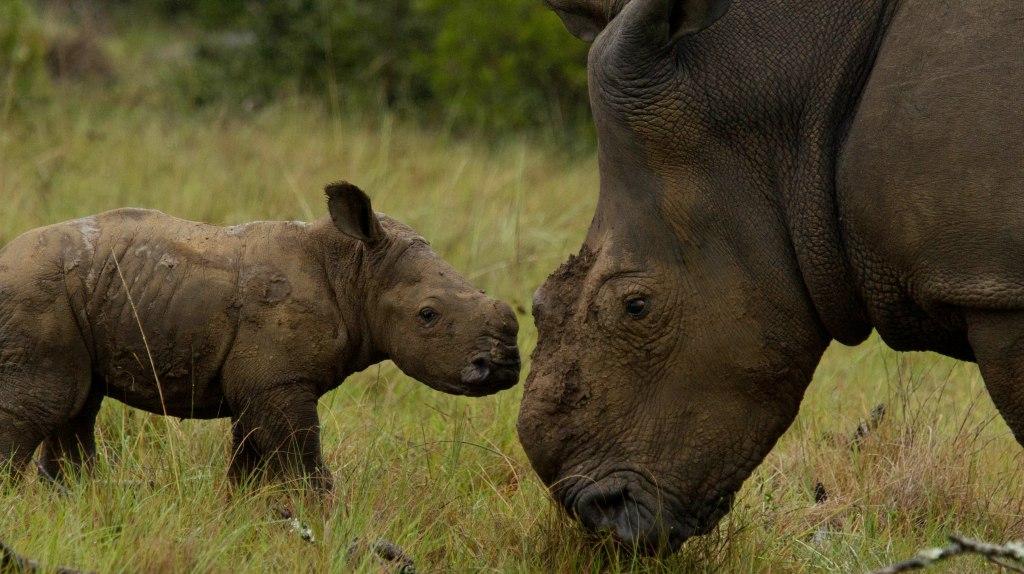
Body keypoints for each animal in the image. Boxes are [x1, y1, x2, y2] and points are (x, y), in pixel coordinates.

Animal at [0, 182, 520, 487]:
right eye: (428, 315)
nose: (504, 368)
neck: (356, 270)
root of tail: (5, 257)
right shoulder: (278, 382)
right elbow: (303, 461)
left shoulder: (262, 385)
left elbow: (249, 465)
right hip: (35, 291)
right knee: (47, 402)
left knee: (78, 406)